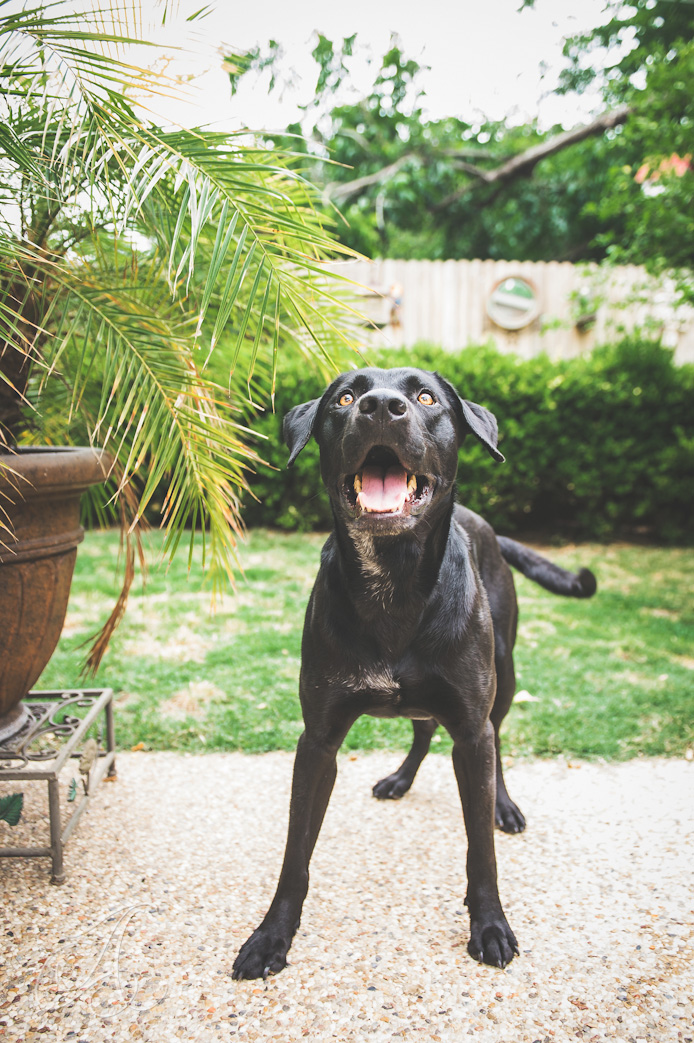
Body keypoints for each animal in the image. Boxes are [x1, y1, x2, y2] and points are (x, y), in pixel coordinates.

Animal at [231, 365, 588, 976]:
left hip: (503, 678)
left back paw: (503, 804)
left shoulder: (469, 730)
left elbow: (481, 851)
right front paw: (272, 934)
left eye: (425, 397)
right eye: (344, 397)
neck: (392, 583)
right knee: (422, 728)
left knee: (496, 736)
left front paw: (490, 924)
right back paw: (400, 778)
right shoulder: (318, 741)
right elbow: (295, 853)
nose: (380, 406)